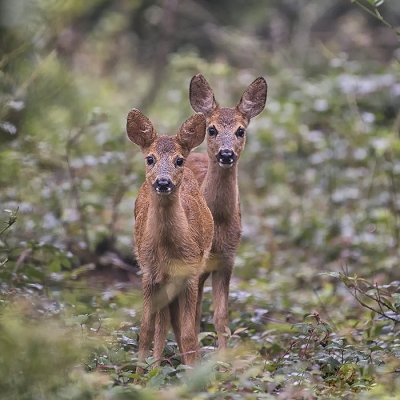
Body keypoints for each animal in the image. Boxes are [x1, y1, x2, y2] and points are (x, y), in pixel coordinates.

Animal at [127, 108, 216, 372]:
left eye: (179, 160)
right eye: (150, 159)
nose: (163, 182)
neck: (166, 249)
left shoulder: (189, 274)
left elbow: (187, 333)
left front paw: (193, 375)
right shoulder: (148, 272)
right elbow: (146, 330)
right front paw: (139, 376)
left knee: (175, 322)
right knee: (163, 321)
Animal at [185, 73, 268, 348]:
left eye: (240, 130)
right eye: (212, 129)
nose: (226, 154)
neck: (219, 221)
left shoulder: (228, 259)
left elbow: (221, 318)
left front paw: (222, 357)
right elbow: (195, 315)